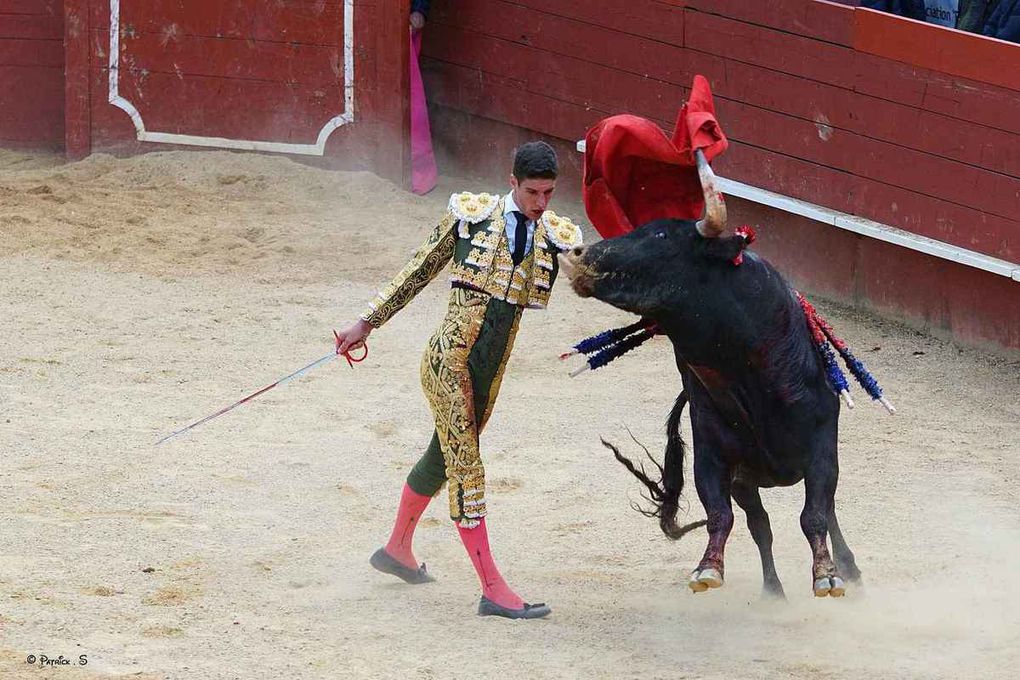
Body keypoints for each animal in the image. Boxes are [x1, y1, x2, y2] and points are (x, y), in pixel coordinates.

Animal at [563, 151, 864, 599]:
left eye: (660, 237)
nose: (576, 255)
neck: (742, 370)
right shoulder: (712, 454)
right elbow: (721, 514)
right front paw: (708, 568)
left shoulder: (822, 445)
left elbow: (815, 514)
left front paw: (828, 575)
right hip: (746, 482)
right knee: (761, 526)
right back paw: (773, 592)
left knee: (823, 512)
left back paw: (847, 568)